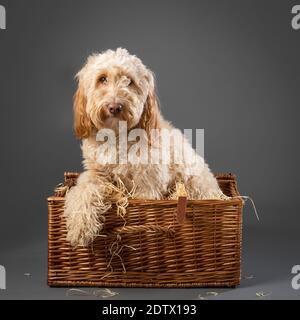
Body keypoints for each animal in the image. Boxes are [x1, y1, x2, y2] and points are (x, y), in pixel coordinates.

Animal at [64, 48, 226, 248]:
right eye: (102, 79)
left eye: (129, 81)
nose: (115, 107)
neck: (118, 135)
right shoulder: (96, 175)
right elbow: (83, 192)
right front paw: (80, 227)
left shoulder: (148, 184)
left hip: (195, 182)